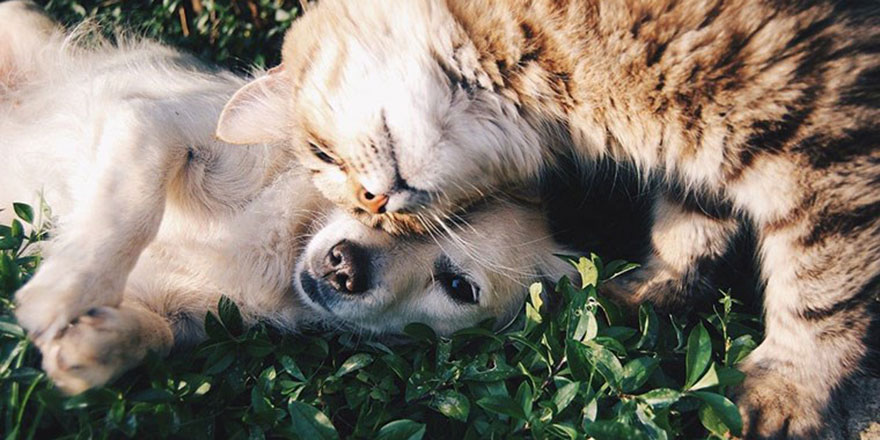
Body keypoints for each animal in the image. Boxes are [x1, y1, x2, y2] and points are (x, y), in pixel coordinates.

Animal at [215, 0, 880, 436]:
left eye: (322, 155)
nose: (374, 204)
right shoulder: (704, 153)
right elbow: (689, 225)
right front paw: (649, 292)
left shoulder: (824, 134)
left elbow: (820, 290)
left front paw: (789, 389)